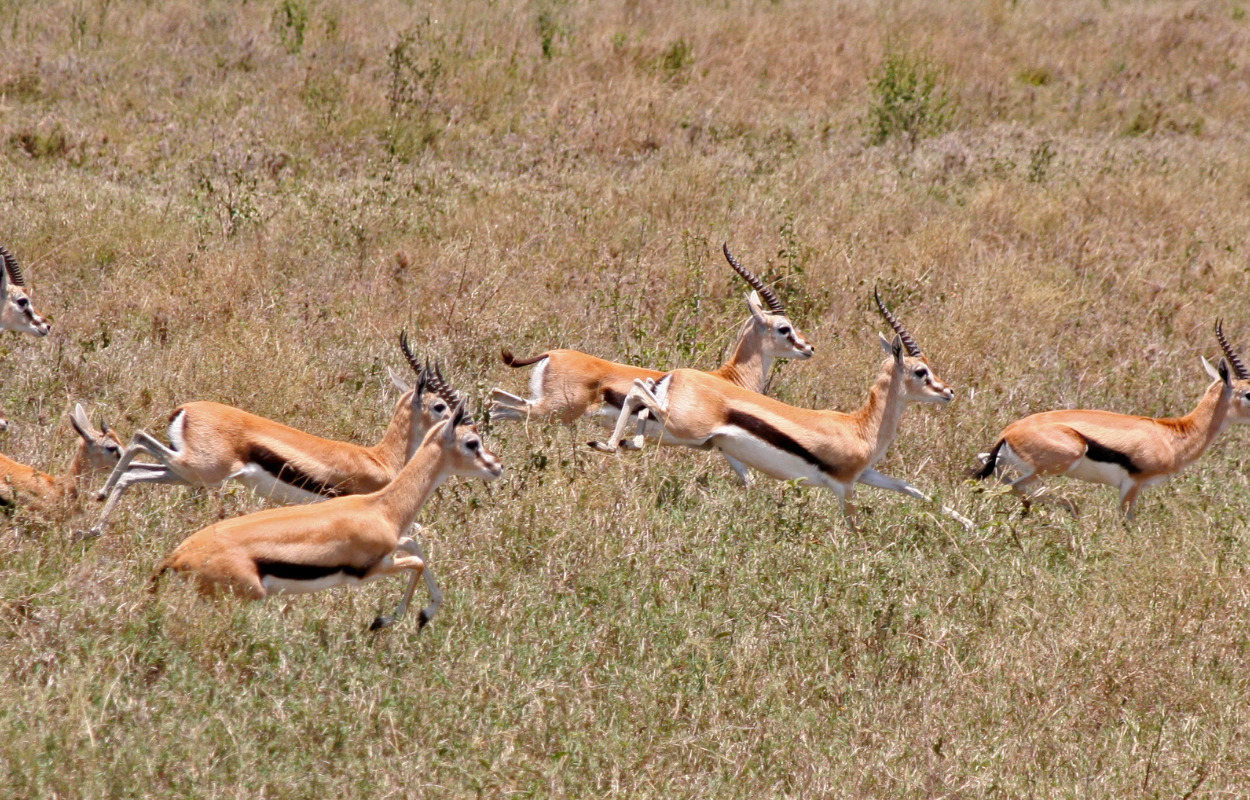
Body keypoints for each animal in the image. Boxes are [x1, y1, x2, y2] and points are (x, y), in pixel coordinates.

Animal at [82, 333, 461, 539]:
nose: (466, 423)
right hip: (199, 469)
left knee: (134, 471)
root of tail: (185, 409)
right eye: (440, 405)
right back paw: (97, 506)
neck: (381, 459)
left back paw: (95, 521)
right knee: (138, 438)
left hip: (187, 475)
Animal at [150, 401, 502, 630]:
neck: (381, 507)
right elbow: (416, 561)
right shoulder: (369, 570)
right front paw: (392, 619)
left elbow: (417, 551)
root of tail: (176, 556)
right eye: (472, 442)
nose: (497, 466)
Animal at [490, 243, 814, 483]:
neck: (728, 378)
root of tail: (552, 354)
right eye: (784, 328)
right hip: (554, 410)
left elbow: (749, 481)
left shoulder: (728, 448)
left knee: (497, 402)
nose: (809, 348)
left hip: (542, 407)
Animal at [590, 292, 974, 532]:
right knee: (637, 389)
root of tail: (678, 376)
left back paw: (617, 444)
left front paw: (969, 523)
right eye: (920, 371)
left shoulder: (865, 474)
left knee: (640, 400)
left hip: (681, 433)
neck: (860, 426)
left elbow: (912, 489)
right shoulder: (844, 486)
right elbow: (855, 528)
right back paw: (607, 445)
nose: (948, 392)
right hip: (684, 429)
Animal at [972, 321, 1250, 519]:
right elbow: (1127, 522)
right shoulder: (1131, 485)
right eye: (1248, 392)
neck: (1172, 435)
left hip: (1006, 464)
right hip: (1059, 461)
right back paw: (1071, 508)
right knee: (1016, 487)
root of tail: (1009, 432)